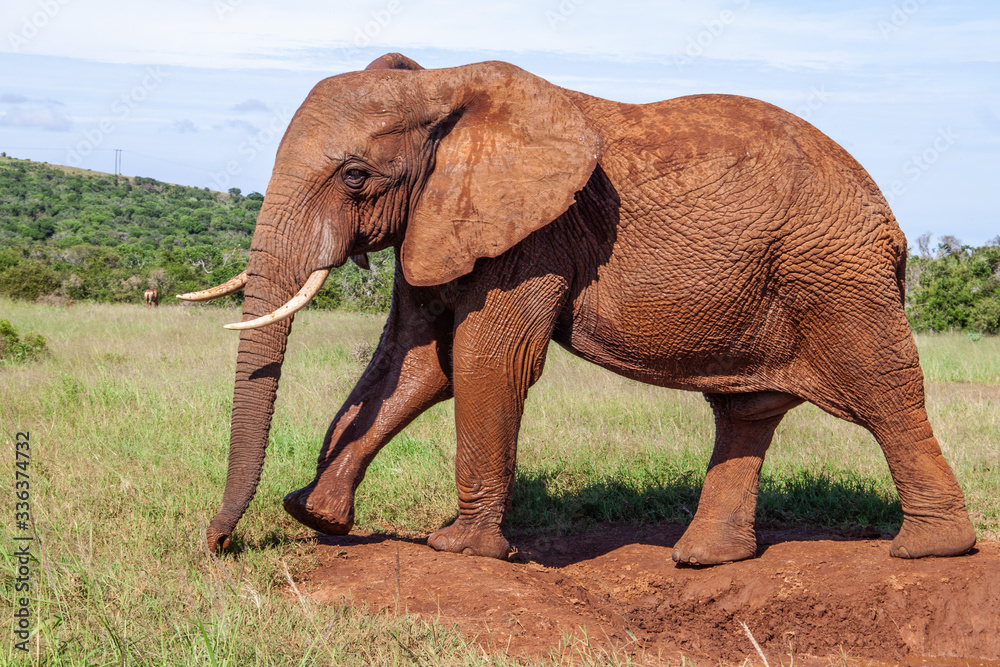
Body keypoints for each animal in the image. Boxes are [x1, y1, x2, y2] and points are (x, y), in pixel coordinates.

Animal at [179, 53, 976, 565]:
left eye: (353, 176)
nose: (222, 545)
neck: (442, 87)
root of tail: (894, 225)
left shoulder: (538, 232)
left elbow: (485, 360)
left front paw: (460, 548)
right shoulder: (439, 220)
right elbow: (416, 362)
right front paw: (314, 513)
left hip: (837, 276)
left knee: (884, 393)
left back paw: (930, 549)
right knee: (746, 411)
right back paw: (703, 560)